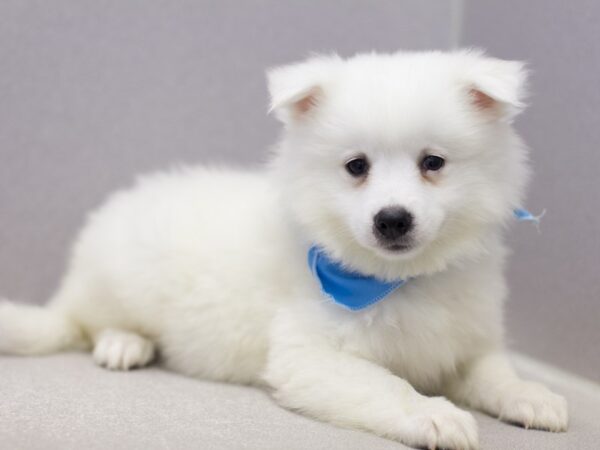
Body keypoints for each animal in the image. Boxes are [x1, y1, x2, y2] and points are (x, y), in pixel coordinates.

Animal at [0, 51, 568, 448]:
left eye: (433, 163)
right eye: (356, 166)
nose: (392, 219)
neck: (395, 279)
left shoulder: (466, 341)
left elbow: (496, 372)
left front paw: (533, 397)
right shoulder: (310, 356)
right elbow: (385, 385)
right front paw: (435, 414)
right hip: (116, 284)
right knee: (87, 324)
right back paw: (124, 343)